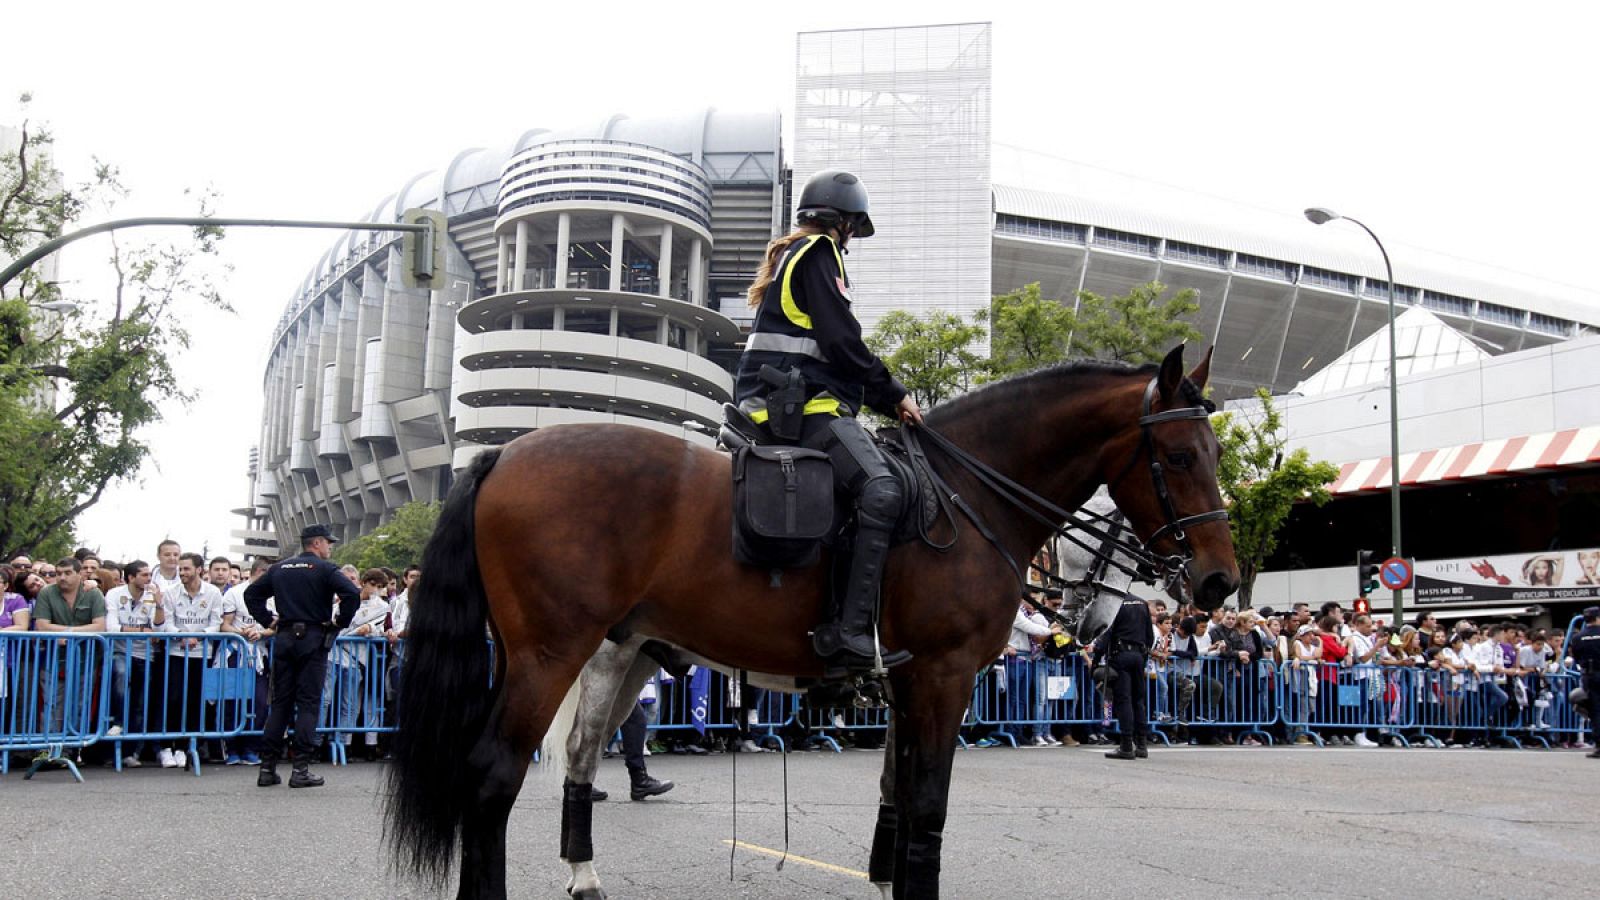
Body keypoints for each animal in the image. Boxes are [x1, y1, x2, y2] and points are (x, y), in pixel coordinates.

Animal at [384, 342, 1235, 896]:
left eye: (1216, 453)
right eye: (1181, 456)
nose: (1219, 580)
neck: (968, 494)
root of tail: (504, 453)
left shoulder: (907, 682)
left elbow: (899, 792)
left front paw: (887, 878)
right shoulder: (946, 676)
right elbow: (929, 803)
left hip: (612, 653)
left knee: (579, 758)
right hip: (549, 653)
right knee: (493, 776)